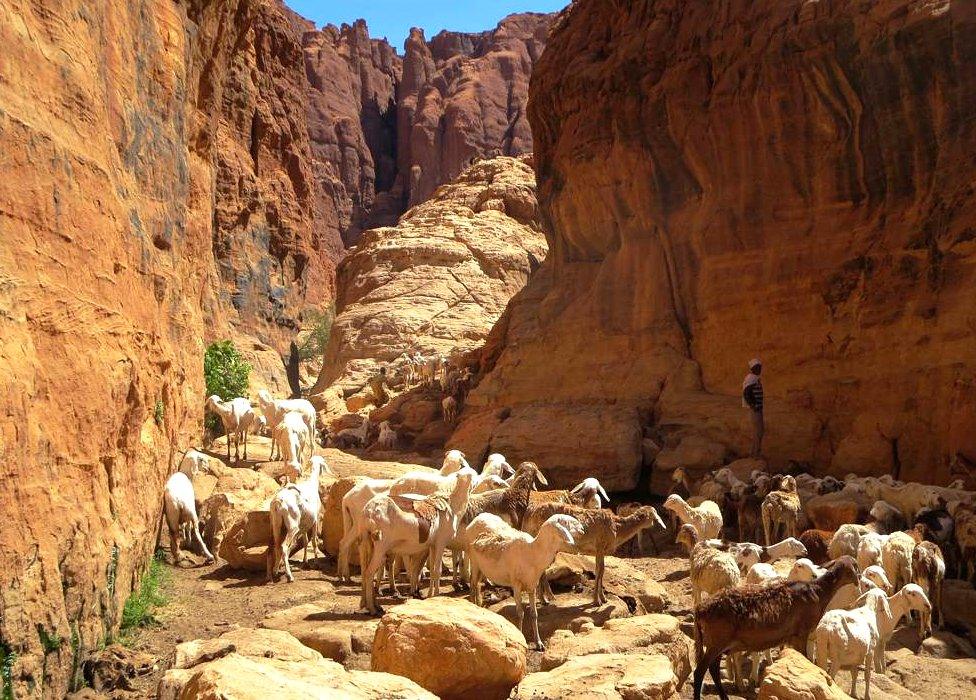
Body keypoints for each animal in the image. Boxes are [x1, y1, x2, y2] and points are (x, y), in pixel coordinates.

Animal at [692, 556, 856, 696]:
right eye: (854, 566)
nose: (857, 580)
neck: (819, 591)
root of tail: (700, 610)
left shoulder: (793, 637)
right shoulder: (801, 633)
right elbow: (805, 657)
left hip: (719, 643)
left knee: (713, 668)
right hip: (717, 641)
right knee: (700, 671)